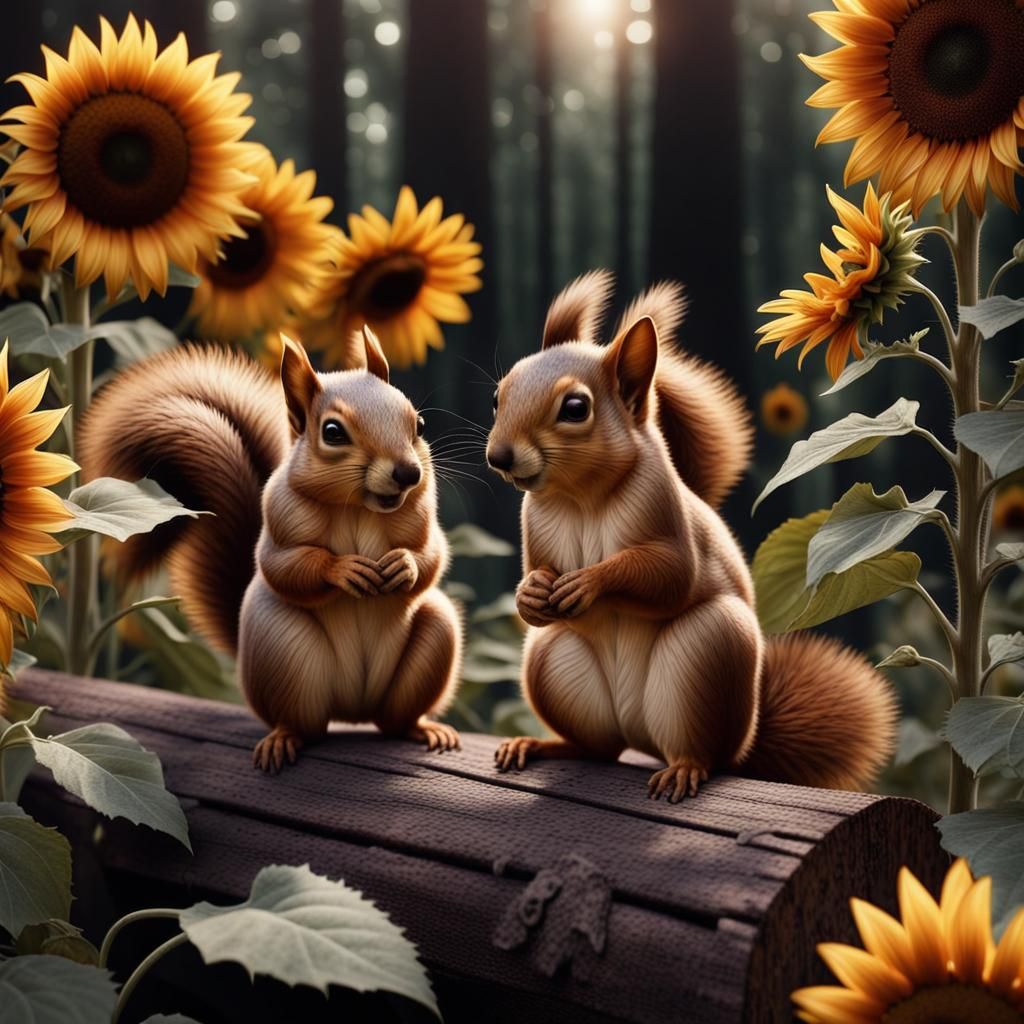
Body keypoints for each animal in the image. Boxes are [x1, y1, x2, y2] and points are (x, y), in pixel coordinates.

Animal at [80, 329, 462, 771]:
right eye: (333, 432)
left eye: (418, 422)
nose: (408, 473)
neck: (358, 508)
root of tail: (352, 712)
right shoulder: (279, 520)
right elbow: (283, 565)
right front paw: (344, 570)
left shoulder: (422, 517)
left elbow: (432, 553)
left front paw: (404, 565)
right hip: (284, 652)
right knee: (302, 723)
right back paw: (283, 739)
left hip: (432, 640)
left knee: (396, 720)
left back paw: (426, 729)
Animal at [485, 271, 896, 801]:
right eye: (498, 396)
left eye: (575, 408)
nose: (499, 456)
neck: (582, 498)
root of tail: (642, 737)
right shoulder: (534, 523)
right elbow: (535, 576)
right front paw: (532, 593)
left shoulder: (665, 514)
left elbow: (670, 575)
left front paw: (589, 582)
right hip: (552, 661)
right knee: (597, 749)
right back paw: (539, 745)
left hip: (708, 654)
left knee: (700, 752)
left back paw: (684, 769)